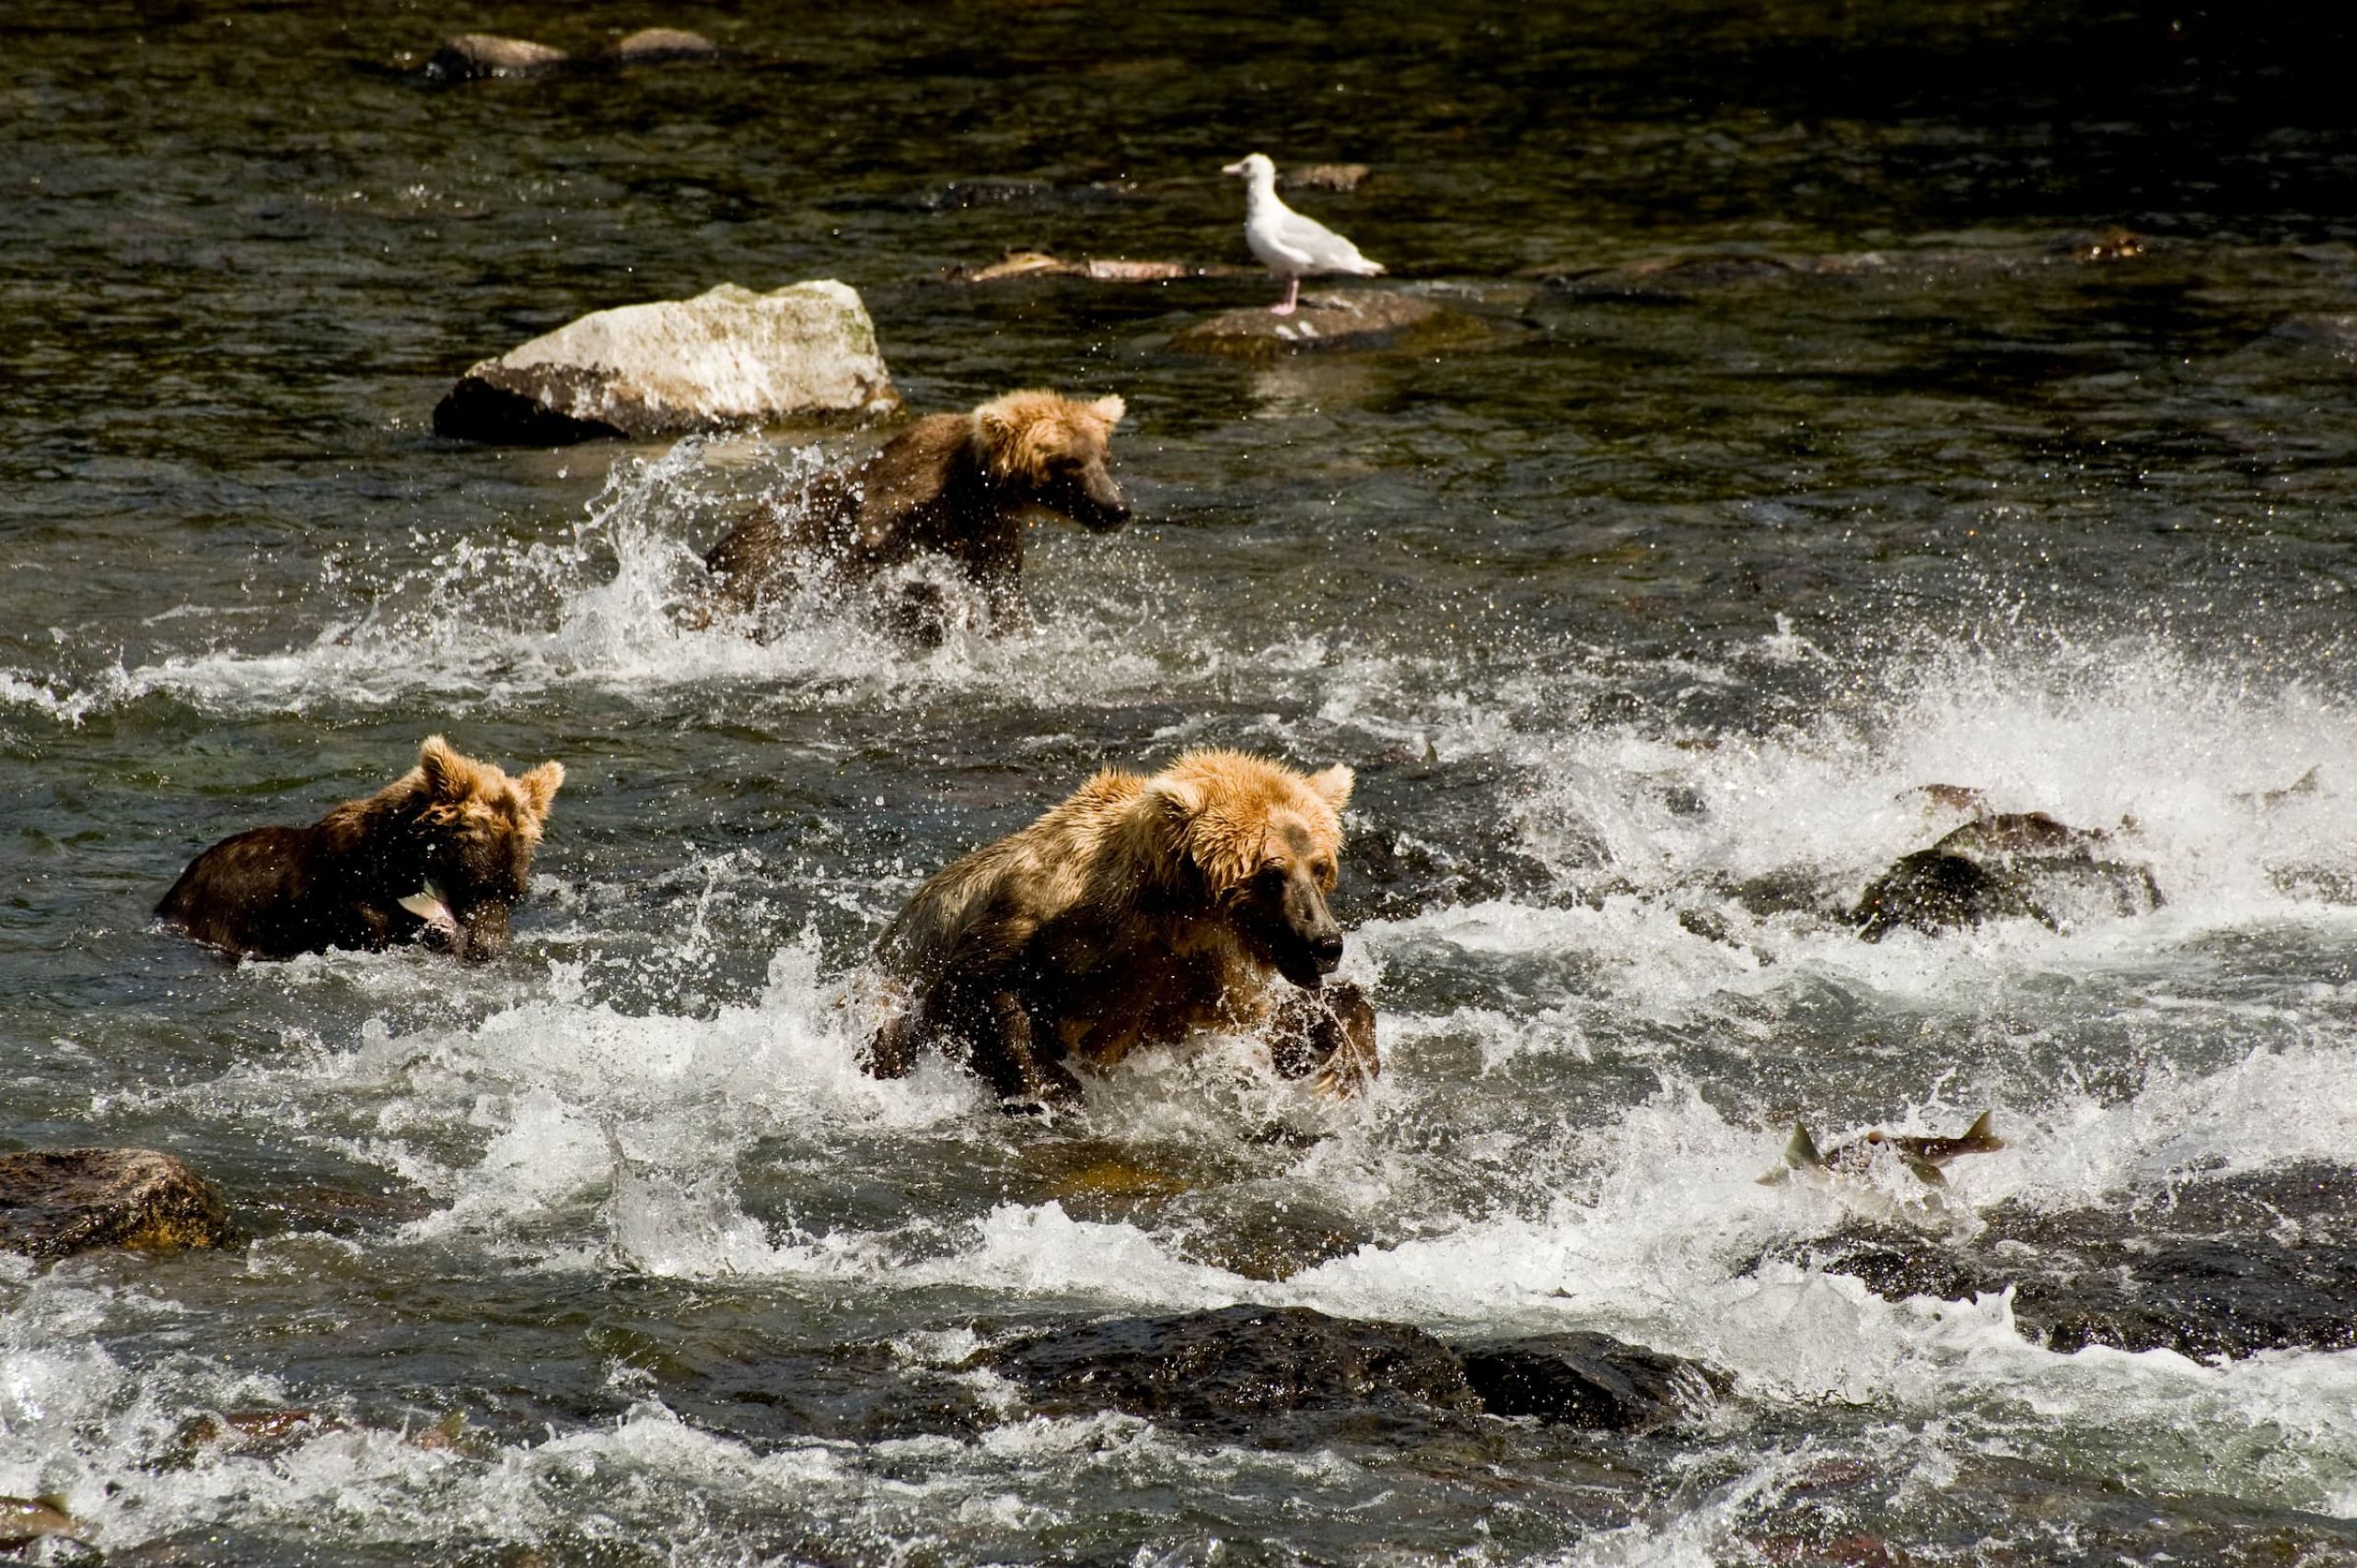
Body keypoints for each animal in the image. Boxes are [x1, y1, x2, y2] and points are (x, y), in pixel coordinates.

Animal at [697, 384, 1131, 641]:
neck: (970, 494)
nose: (1117, 508)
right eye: (1070, 462)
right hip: (753, 564)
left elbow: (1004, 600)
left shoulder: (993, 539)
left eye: (1104, 457)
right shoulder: (889, 517)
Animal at [867, 749, 1376, 1108]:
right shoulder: (1048, 917)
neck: (1173, 913)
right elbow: (981, 988)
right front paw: (1054, 1089)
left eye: (1320, 866)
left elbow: (1271, 1023)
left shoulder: (1201, 975)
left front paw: (1345, 1064)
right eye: (1273, 874)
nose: (1325, 943)